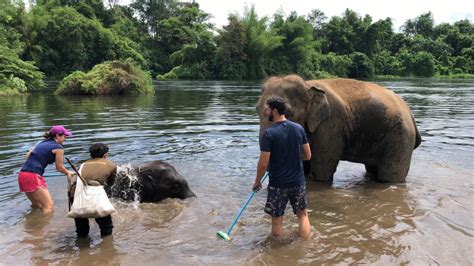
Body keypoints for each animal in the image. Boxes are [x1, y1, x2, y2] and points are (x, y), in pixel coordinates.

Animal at [258, 75, 420, 183]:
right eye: (257, 109)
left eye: (286, 112)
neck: (307, 85)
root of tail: (410, 114)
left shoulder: (330, 125)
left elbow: (322, 170)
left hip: (400, 139)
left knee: (389, 176)